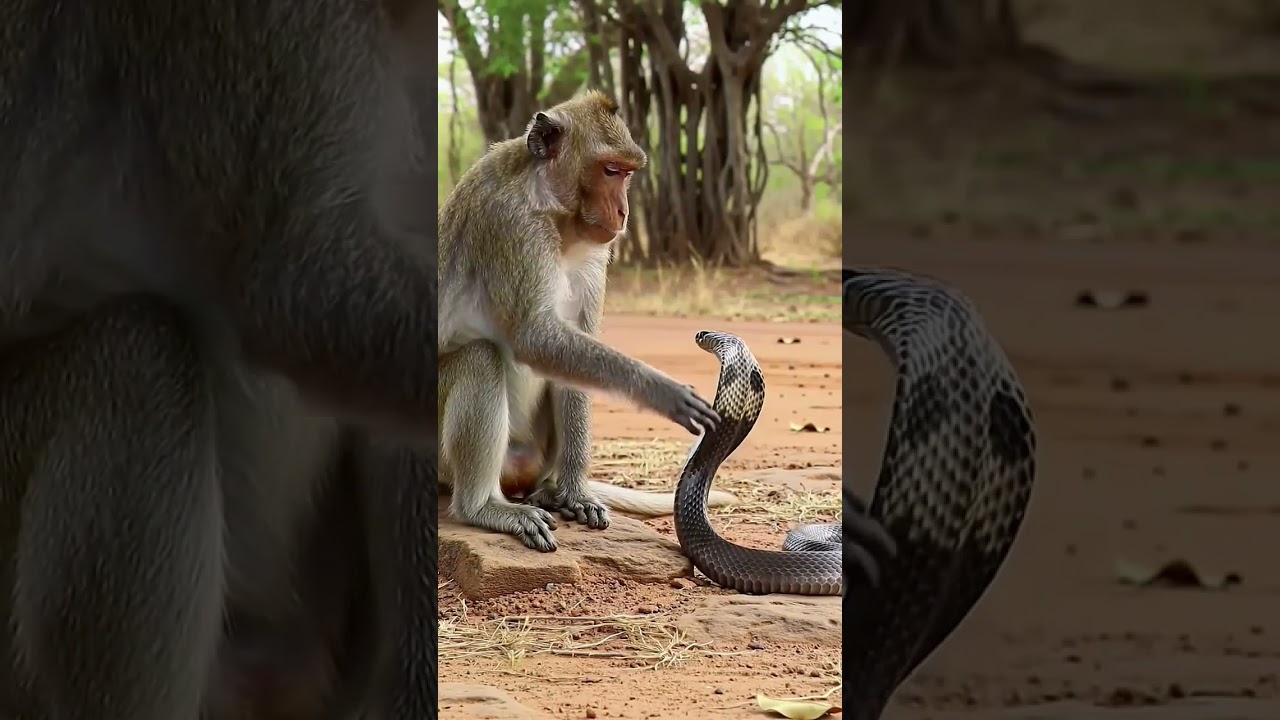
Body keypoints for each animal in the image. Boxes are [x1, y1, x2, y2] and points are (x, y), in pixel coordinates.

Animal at [437, 90, 722, 552]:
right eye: (610, 170)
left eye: (627, 173)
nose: (622, 211)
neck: (553, 211)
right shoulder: (512, 225)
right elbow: (534, 338)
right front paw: (661, 389)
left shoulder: (594, 250)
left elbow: (573, 344)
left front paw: (576, 494)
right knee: (480, 357)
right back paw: (483, 508)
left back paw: (550, 492)